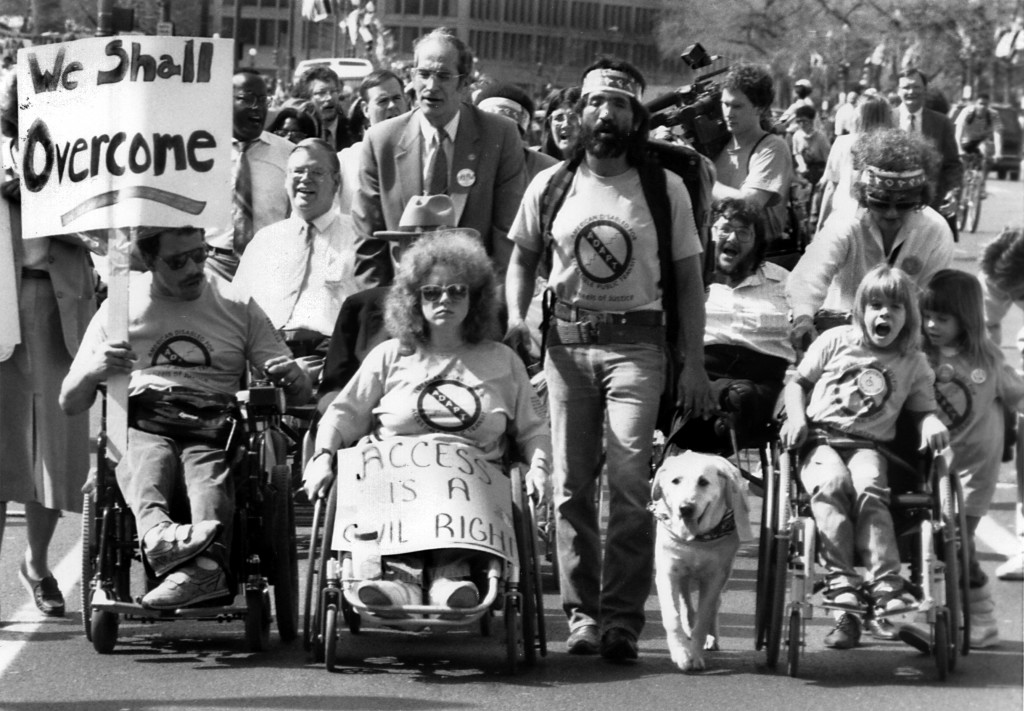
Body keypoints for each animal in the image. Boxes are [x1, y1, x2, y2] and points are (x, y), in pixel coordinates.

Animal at [651, 448, 749, 672]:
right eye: (675, 480)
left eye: (703, 482)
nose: (686, 508)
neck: (696, 541)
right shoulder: (667, 572)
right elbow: (672, 616)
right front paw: (681, 653)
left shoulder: (714, 577)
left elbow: (704, 618)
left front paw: (695, 654)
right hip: (684, 576)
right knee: (686, 604)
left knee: (714, 605)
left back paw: (711, 638)